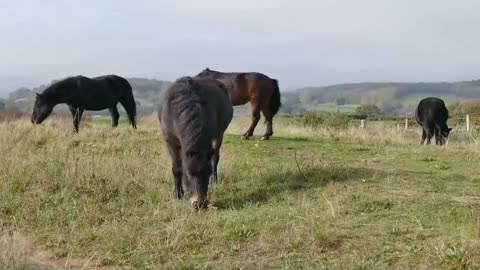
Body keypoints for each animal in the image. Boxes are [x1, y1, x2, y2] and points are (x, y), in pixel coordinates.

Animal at [160, 77, 233, 210]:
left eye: (207, 171)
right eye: (188, 173)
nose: (200, 204)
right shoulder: (171, 141)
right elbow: (177, 168)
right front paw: (178, 195)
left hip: (219, 135)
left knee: (215, 156)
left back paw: (214, 180)